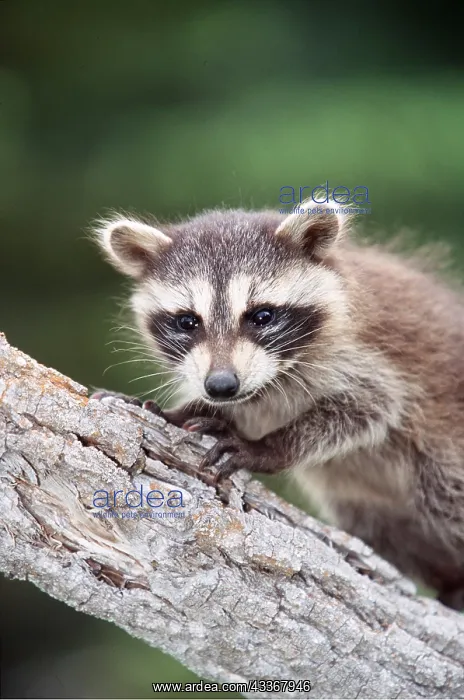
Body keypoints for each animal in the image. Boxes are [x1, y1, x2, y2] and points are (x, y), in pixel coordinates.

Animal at [94, 203, 464, 609]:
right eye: (188, 321)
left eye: (262, 316)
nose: (221, 386)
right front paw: (186, 411)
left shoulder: (367, 359)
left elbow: (367, 408)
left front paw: (269, 447)